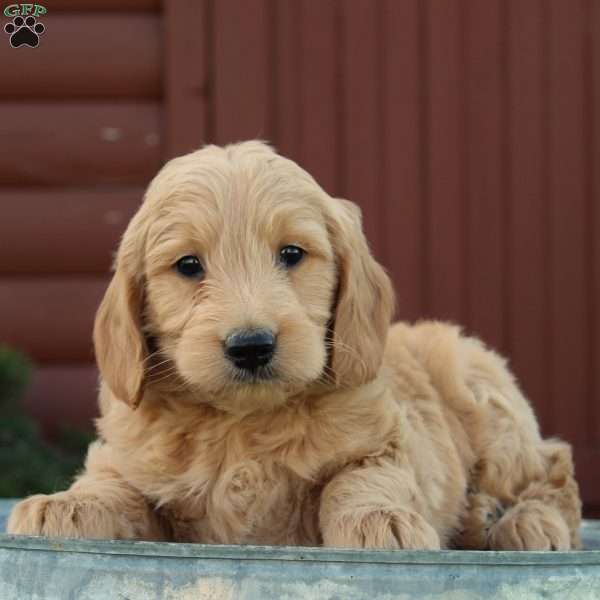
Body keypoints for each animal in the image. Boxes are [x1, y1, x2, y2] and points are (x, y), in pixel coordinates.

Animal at [8, 141, 580, 548]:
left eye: (291, 253)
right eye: (189, 265)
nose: (251, 345)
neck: (241, 423)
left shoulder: (385, 443)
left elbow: (358, 481)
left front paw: (381, 520)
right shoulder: (129, 460)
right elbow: (114, 488)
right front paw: (64, 505)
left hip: (482, 394)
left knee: (552, 468)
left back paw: (522, 521)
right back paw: (482, 517)